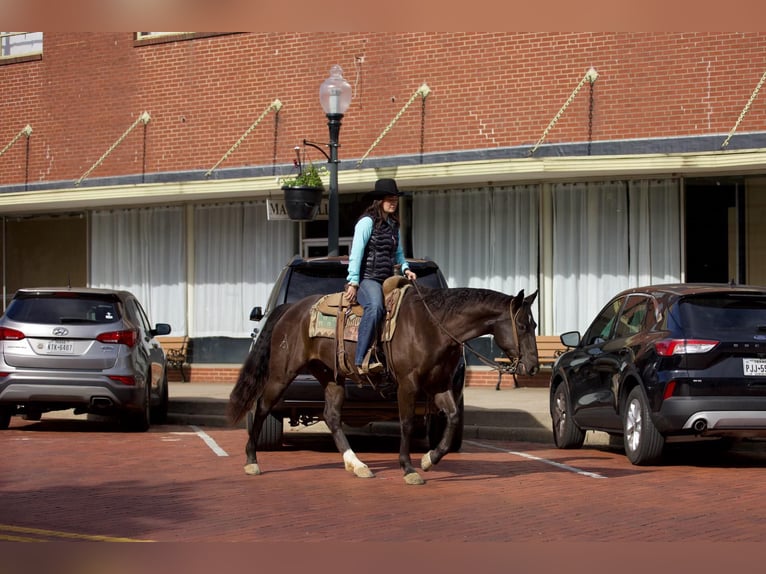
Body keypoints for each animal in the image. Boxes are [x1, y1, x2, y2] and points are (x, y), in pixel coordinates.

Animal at [228, 284, 540, 486]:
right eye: (523, 326)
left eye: (534, 325)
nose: (533, 367)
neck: (433, 326)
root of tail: (291, 308)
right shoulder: (408, 385)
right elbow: (406, 423)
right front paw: (409, 468)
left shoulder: (438, 385)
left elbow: (452, 418)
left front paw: (430, 459)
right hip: (282, 374)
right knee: (262, 407)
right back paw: (251, 460)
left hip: (331, 376)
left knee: (332, 416)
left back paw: (357, 465)